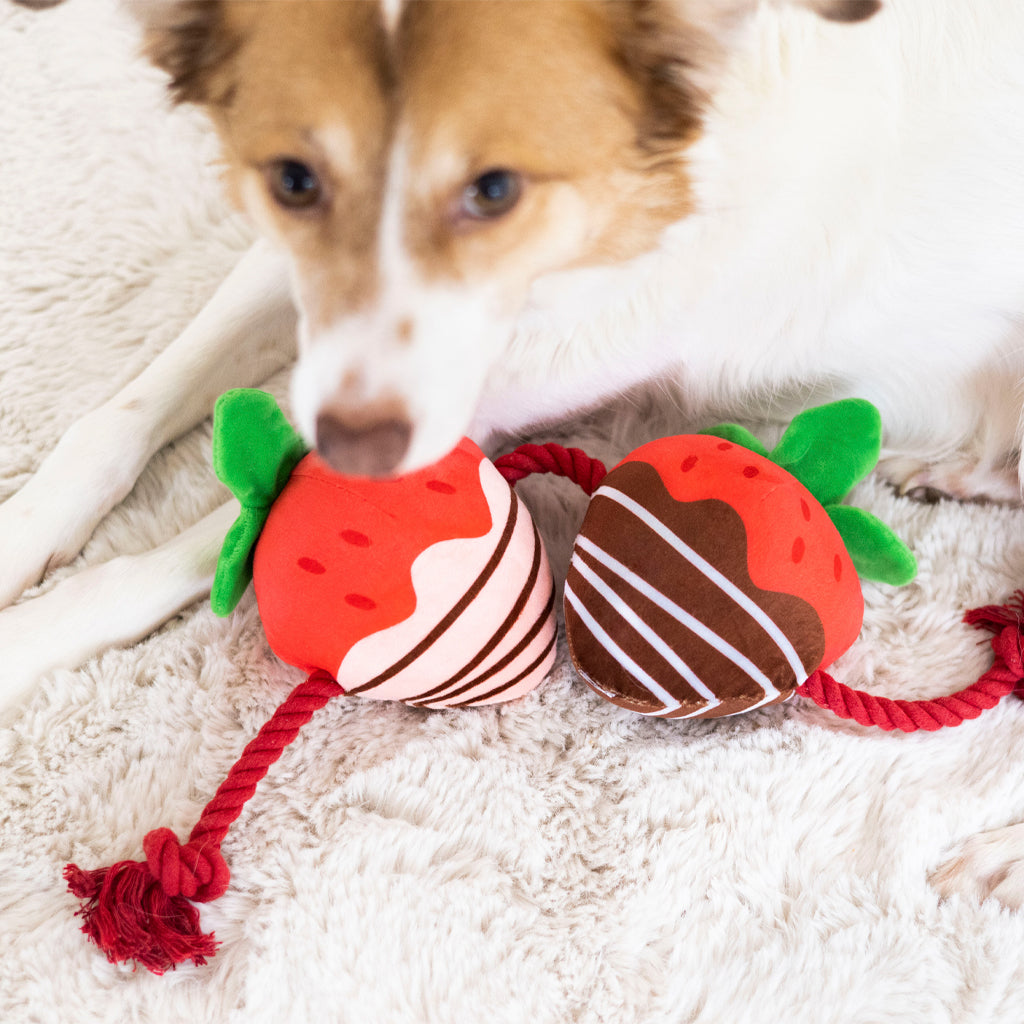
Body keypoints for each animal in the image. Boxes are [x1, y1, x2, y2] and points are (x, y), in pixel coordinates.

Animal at [6, 0, 1024, 909]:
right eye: (297, 178)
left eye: (493, 191)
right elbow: (119, 417)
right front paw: (27, 531)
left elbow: (184, 551)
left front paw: (29, 634)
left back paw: (999, 859)